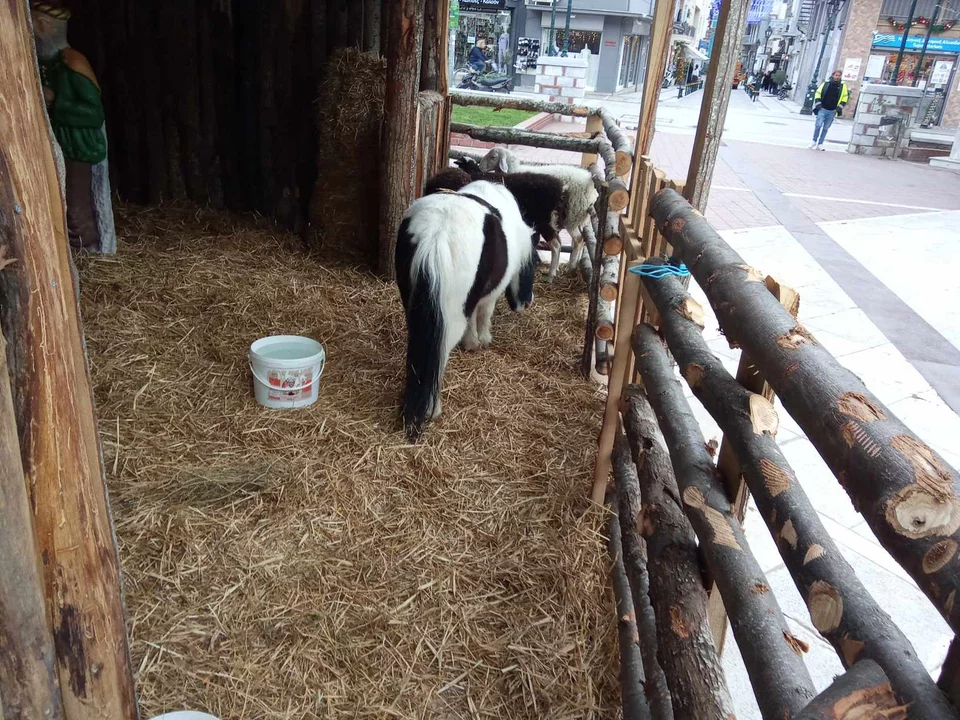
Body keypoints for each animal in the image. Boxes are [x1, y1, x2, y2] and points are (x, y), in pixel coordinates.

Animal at [395, 180, 537, 442]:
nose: (527, 302)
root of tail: (436, 234)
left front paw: (471, 342)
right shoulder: (490, 294)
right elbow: (484, 314)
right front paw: (481, 340)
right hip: (448, 320)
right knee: (440, 354)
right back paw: (432, 409)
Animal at [478, 147, 598, 280]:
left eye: (493, 157)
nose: (480, 167)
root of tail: (591, 188)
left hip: (571, 217)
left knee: (577, 240)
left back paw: (569, 267)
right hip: (576, 218)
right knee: (581, 240)